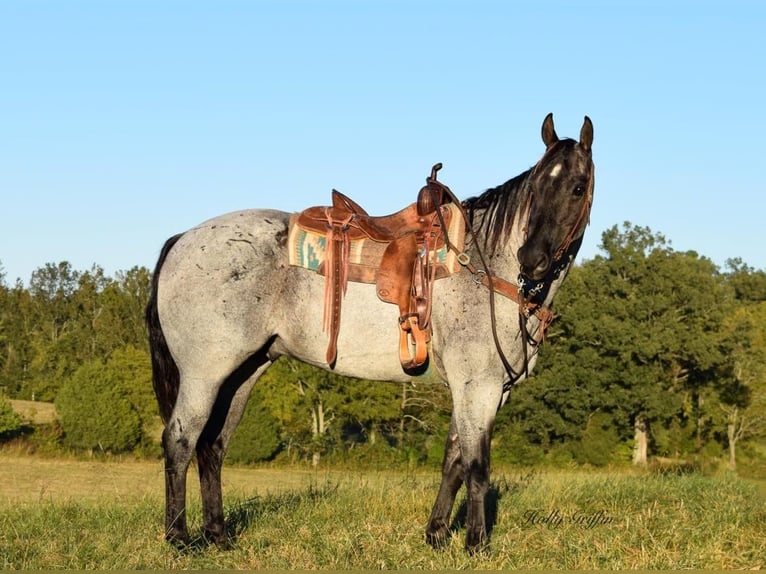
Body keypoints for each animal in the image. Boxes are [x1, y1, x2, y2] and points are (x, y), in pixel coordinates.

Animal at [147, 113, 596, 552]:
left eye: (577, 187)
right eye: (536, 186)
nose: (532, 260)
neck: (482, 263)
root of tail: (182, 239)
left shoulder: (482, 390)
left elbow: (452, 461)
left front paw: (436, 536)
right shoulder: (477, 386)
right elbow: (476, 466)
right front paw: (476, 545)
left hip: (242, 374)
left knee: (213, 447)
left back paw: (219, 537)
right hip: (205, 374)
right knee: (181, 440)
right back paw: (179, 538)